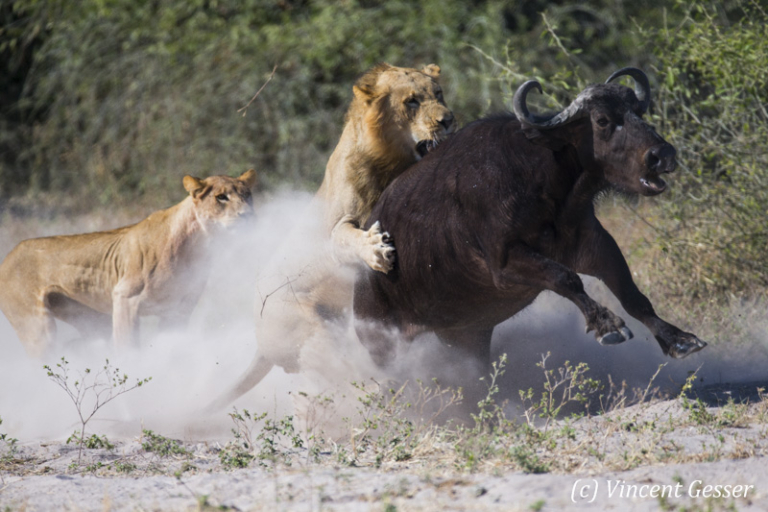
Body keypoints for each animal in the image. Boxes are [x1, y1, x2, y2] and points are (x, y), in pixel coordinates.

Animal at [0, 169, 258, 357]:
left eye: (247, 195)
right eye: (221, 197)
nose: (248, 215)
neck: (199, 245)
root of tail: (9, 253)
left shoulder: (177, 312)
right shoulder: (125, 298)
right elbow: (128, 349)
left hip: (92, 320)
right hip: (37, 329)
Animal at [205, 63, 455, 411]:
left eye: (439, 94)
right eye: (412, 101)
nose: (449, 120)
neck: (390, 162)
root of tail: (257, 339)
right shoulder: (337, 226)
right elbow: (348, 238)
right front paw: (378, 251)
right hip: (309, 326)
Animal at [353, 68, 707, 372]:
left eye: (638, 113)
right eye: (602, 120)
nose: (662, 155)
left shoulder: (595, 245)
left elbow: (633, 296)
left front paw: (679, 339)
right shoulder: (505, 265)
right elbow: (566, 278)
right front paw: (606, 325)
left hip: (465, 335)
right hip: (384, 344)